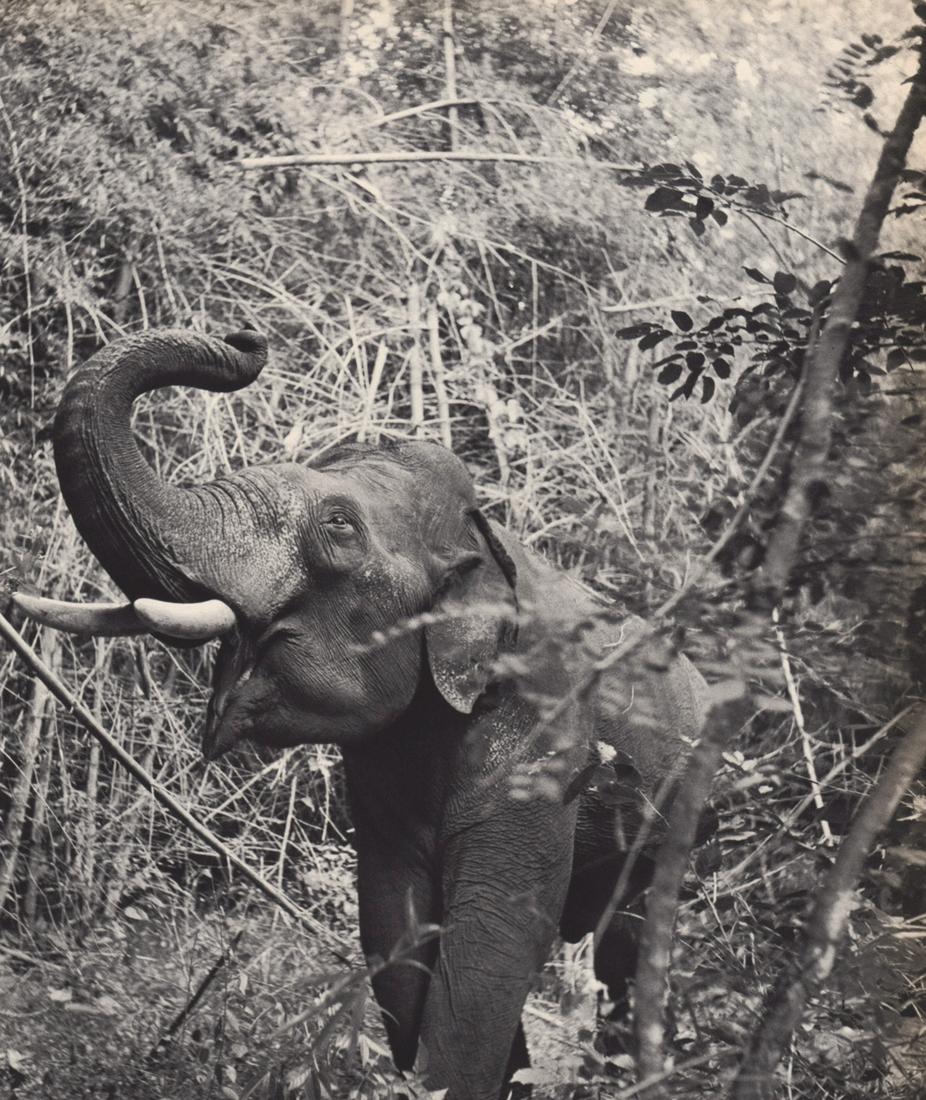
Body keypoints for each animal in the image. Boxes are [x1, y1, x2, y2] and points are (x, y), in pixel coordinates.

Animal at [15, 328, 711, 1100]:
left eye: (340, 527)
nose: (247, 340)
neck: (483, 538)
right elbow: (394, 923)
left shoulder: (545, 720)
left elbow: (493, 938)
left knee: (633, 941)